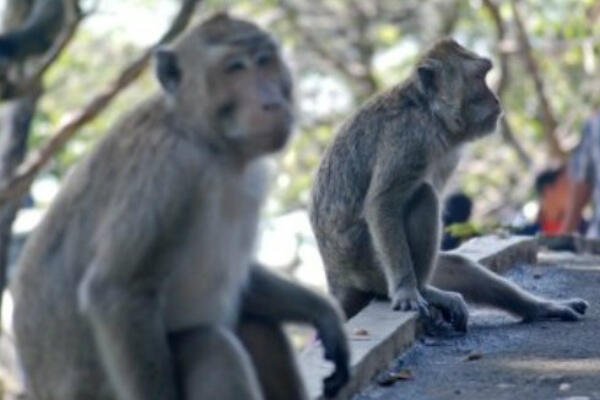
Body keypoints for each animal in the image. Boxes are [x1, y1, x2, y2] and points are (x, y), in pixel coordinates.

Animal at [11, 12, 350, 400]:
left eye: (265, 60)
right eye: (235, 68)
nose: (273, 103)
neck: (206, 139)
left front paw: (323, 313)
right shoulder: (169, 173)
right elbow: (116, 290)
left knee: (255, 326)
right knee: (211, 345)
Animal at [312, 37, 588, 332]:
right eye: (479, 77)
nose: (496, 99)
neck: (429, 111)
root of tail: (335, 277)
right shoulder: (408, 137)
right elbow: (382, 203)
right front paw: (406, 291)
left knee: (459, 265)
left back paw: (539, 308)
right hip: (370, 267)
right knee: (423, 196)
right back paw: (424, 289)